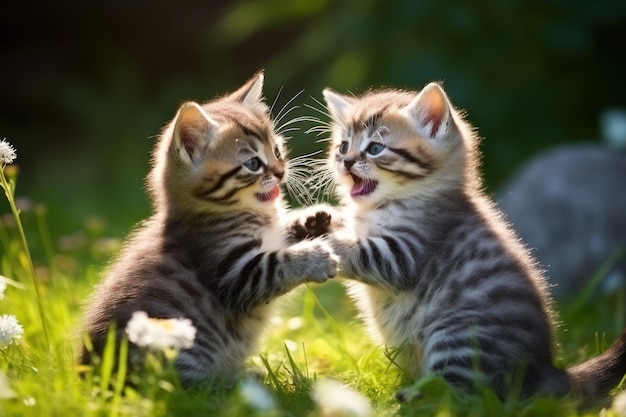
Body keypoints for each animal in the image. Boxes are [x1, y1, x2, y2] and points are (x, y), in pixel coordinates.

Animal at [81, 72, 342, 386]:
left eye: (277, 150)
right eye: (253, 163)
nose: (281, 172)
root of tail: (89, 371)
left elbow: (283, 236)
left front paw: (314, 220)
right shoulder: (233, 272)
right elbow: (276, 264)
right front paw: (315, 257)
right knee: (189, 388)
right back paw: (239, 380)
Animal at [316, 83, 624, 404]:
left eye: (375, 148)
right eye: (343, 146)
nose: (346, 161)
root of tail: (541, 370)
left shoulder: (407, 253)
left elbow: (364, 252)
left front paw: (319, 243)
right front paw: (312, 220)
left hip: (458, 335)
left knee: (463, 396)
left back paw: (415, 397)